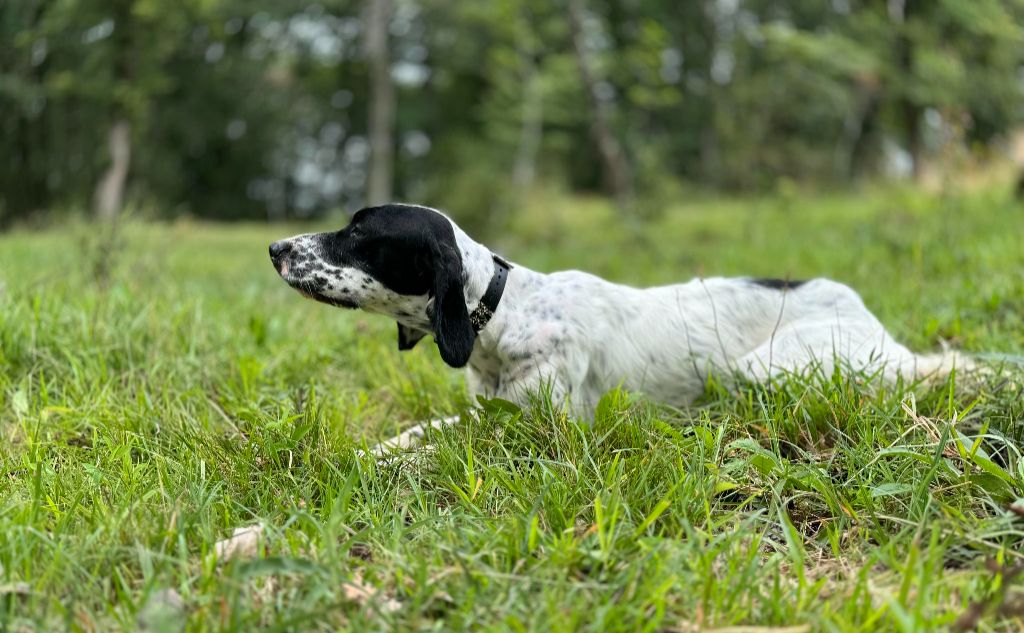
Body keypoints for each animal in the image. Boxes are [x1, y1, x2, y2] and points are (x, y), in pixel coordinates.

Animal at [270, 203, 970, 447]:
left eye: (359, 232)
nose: (275, 247)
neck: (506, 314)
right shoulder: (489, 407)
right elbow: (415, 432)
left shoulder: (543, 429)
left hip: (764, 366)